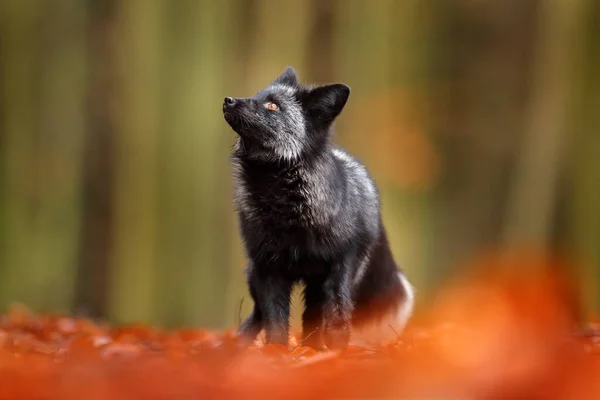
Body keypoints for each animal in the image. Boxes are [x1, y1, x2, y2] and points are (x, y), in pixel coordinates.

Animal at [223, 65, 414, 350]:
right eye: (256, 96)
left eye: (272, 106)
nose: (228, 100)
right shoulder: (268, 268)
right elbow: (275, 321)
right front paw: (275, 354)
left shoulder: (340, 264)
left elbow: (336, 316)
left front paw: (335, 354)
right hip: (256, 275)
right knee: (258, 316)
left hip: (327, 279)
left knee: (314, 315)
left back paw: (312, 350)